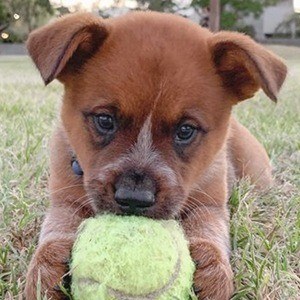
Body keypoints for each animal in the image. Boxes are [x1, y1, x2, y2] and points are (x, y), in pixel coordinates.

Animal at [24, 11, 286, 300]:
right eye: (105, 120)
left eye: (185, 130)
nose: (134, 199)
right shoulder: (64, 201)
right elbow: (55, 230)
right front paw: (44, 271)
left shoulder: (210, 203)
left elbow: (209, 230)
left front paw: (214, 270)